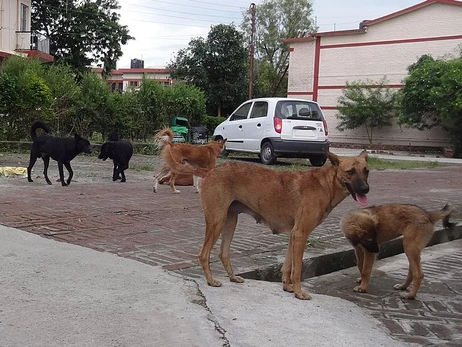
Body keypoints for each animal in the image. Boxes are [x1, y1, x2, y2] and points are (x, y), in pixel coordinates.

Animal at [164, 145, 370, 300]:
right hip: (217, 221)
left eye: (366, 171)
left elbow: (287, 266)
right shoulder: (301, 234)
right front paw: (299, 292)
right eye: (350, 172)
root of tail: (210, 170)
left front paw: (287, 287)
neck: (325, 183)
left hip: (230, 221)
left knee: (223, 253)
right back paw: (210, 280)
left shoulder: (294, 236)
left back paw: (233, 277)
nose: (366, 189)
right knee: (203, 254)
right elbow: (297, 269)